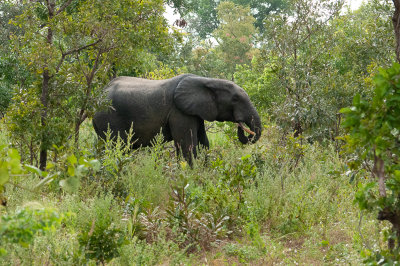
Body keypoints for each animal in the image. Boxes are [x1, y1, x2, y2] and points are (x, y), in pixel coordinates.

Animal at [94, 73, 262, 164]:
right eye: (235, 99)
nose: (241, 125)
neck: (207, 80)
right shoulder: (179, 112)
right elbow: (188, 146)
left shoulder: (195, 111)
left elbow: (204, 143)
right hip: (109, 118)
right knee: (117, 148)